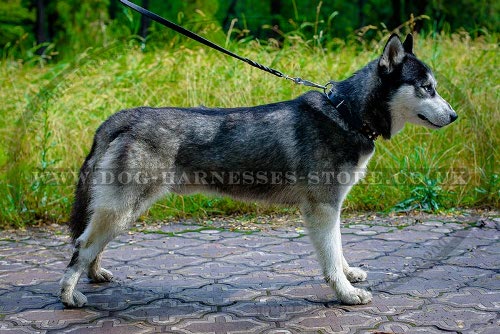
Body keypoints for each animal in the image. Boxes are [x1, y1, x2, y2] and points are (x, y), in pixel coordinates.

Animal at [59, 34, 458, 308]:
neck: (347, 113)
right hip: (123, 210)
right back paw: (69, 296)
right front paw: (345, 292)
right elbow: (330, 256)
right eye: (427, 88)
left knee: (90, 246)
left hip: (118, 212)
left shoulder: (333, 208)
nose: (455, 115)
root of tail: (124, 117)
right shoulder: (322, 209)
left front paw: (348, 274)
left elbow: (339, 250)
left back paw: (94, 275)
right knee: (80, 246)